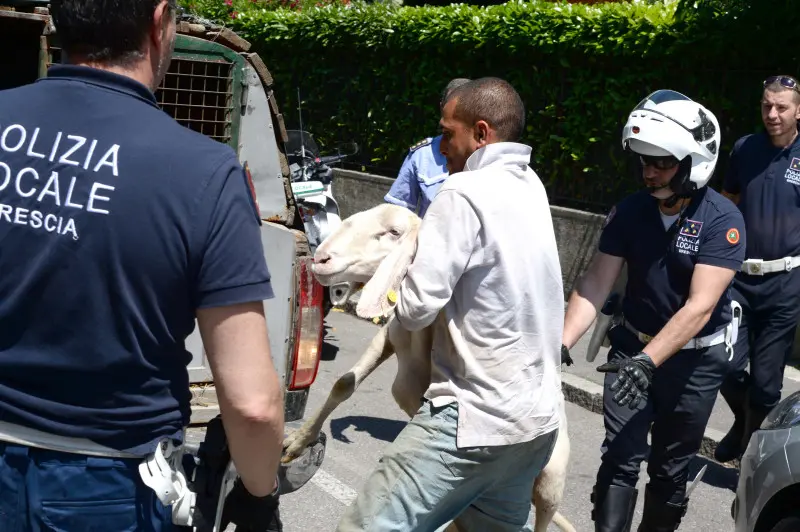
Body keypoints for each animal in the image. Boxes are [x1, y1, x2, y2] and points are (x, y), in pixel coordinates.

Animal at [282, 204, 576, 532]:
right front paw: (297, 442)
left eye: (394, 232)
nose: (322, 259)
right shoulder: (389, 337)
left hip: (551, 481)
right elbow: (344, 383)